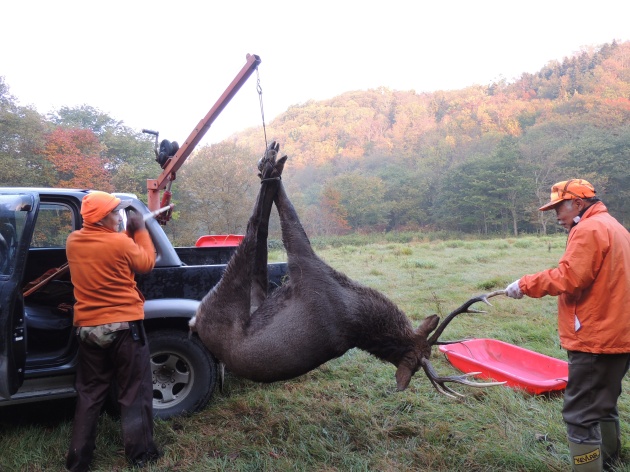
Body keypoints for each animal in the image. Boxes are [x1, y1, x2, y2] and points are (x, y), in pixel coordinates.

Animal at [190, 143, 506, 398]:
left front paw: (273, 169)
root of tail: (195, 324)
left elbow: (291, 223)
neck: (358, 309)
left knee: (254, 230)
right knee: (260, 243)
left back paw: (270, 167)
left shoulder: (305, 265)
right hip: (252, 299)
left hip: (222, 302)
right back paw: (270, 165)